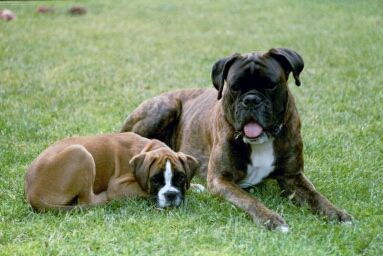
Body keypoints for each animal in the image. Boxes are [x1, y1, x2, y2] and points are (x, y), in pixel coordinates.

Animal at [24, 131, 198, 211]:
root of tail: (32, 195)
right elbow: (145, 192)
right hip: (81, 153)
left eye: (181, 178)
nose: (171, 195)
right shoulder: (118, 186)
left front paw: (196, 186)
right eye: (155, 180)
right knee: (87, 201)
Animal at [121, 48, 354, 232]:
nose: (251, 100)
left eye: (270, 85)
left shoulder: (293, 177)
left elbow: (316, 196)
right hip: (164, 108)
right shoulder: (221, 180)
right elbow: (248, 199)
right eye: (234, 86)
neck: (261, 142)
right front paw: (270, 219)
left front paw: (338, 214)